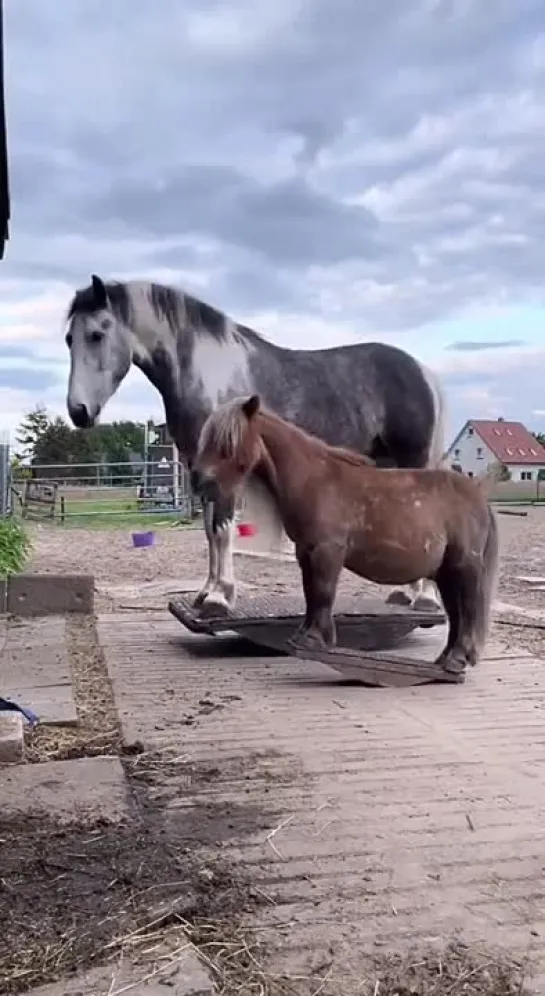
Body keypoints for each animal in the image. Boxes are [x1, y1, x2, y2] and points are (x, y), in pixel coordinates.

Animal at [65, 274, 446, 616]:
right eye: (69, 338)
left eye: (97, 334)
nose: (78, 411)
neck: (207, 372)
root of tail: (422, 370)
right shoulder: (198, 468)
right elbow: (209, 532)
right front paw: (206, 592)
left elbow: (222, 530)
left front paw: (220, 598)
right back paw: (405, 594)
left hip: (413, 458)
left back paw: (424, 598)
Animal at [191, 392, 498, 672]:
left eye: (227, 441)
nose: (198, 481)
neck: (314, 480)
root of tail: (479, 496)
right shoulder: (307, 552)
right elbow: (312, 594)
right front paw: (306, 636)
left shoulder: (327, 551)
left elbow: (323, 592)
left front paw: (314, 640)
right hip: (447, 573)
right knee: (456, 614)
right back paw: (447, 659)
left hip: (464, 567)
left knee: (468, 610)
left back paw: (457, 658)